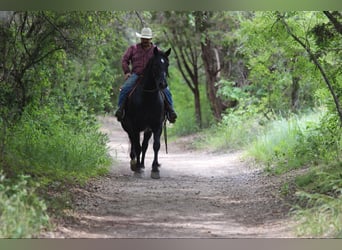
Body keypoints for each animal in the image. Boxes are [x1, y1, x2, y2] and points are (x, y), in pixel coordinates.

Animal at [120, 47, 172, 179]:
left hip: (147, 130)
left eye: (167, 64)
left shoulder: (157, 126)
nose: (163, 84)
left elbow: (155, 146)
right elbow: (137, 146)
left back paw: (142, 165)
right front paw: (137, 169)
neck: (148, 98)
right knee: (134, 143)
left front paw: (154, 169)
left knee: (144, 145)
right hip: (129, 127)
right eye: (155, 65)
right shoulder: (135, 126)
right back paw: (134, 164)